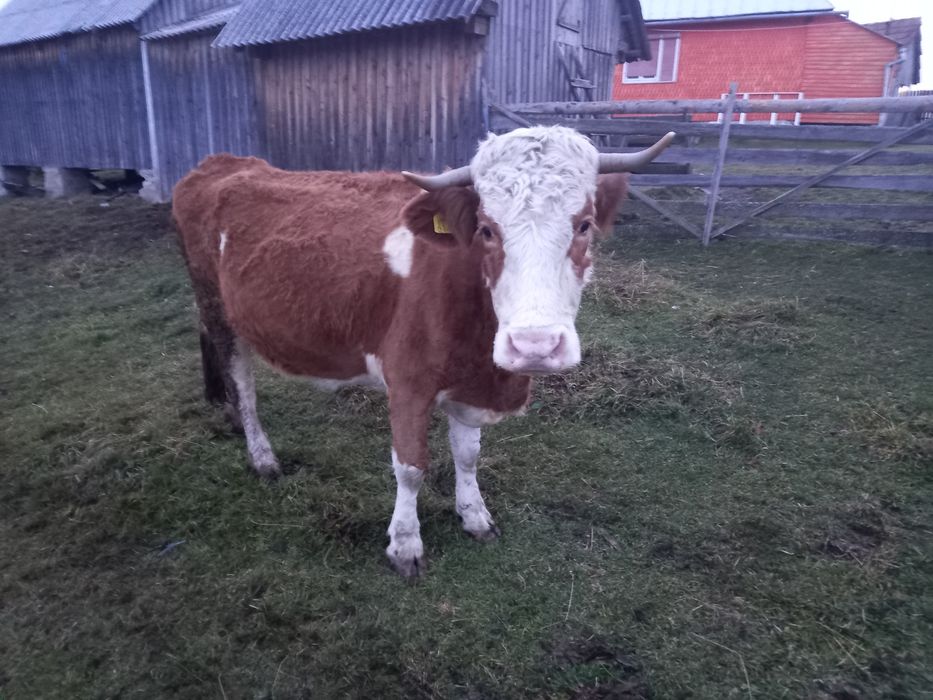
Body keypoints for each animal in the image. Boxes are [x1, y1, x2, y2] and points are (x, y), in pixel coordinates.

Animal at [172, 125, 674, 577]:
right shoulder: (407, 379)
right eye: (487, 230)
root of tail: (221, 163)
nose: (535, 345)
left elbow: (467, 454)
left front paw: (474, 515)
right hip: (219, 307)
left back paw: (224, 409)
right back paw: (260, 453)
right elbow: (410, 466)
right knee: (244, 383)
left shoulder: (470, 382)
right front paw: (405, 544)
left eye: (584, 225)